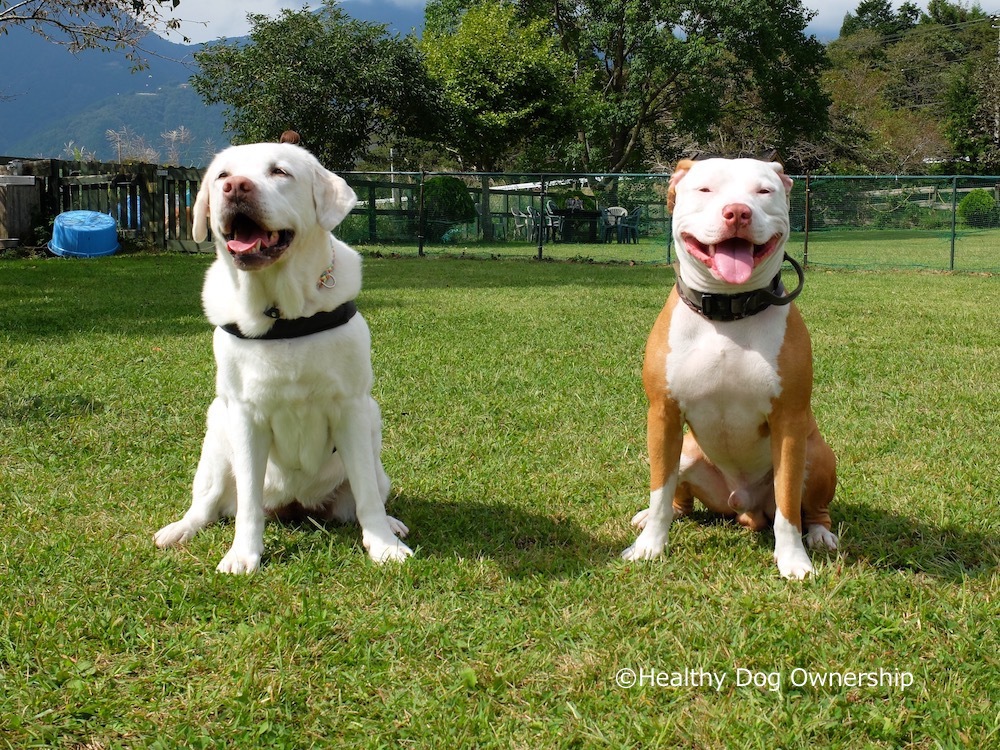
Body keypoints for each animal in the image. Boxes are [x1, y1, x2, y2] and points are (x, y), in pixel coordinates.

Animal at [154, 142, 412, 576]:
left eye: (280, 172)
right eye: (222, 176)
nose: (236, 188)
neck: (284, 315)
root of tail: (295, 504)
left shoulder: (352, 409)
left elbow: (366, 496)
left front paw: (383, 545)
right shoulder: (243, 415)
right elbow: (248, 505)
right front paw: (244, 554)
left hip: (374, 433)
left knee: (369, 492)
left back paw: (391, 523)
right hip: (216, 436)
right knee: (207, 504)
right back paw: (180, 529)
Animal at [624, 157, 836, 580]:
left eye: (764, 191)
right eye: (705, 189)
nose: (737, 212)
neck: (727, 312)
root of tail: (744, 506)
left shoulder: (789, 422)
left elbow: (789, 504)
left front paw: (793, 560)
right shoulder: (663, 414)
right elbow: (660, 491)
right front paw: (649, 546)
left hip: (818, 454)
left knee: (812, 509)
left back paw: (820, 534)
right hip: (686, 453)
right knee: (677, 499)